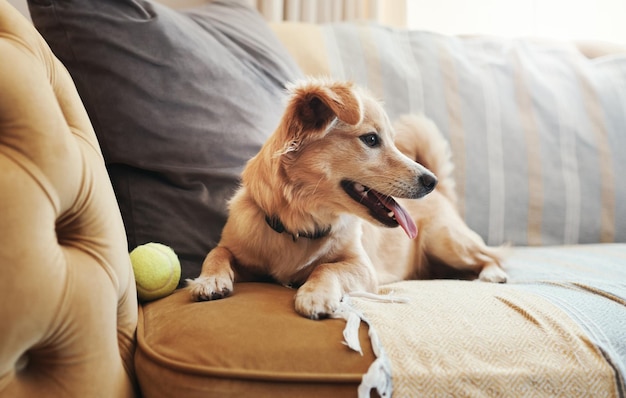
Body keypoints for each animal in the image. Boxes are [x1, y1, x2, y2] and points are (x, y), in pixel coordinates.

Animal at [186, 78, 508, 320]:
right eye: (371, 139)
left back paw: (492, 274)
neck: (302, 223)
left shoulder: (362, 266)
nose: (431, 181)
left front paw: (315, 294)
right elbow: (217, 252)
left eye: (391, 141)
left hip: (446, 241)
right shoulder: (240, 250)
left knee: (491, 255)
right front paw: (209, 280)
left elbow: (325, 266)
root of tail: (443, 195)